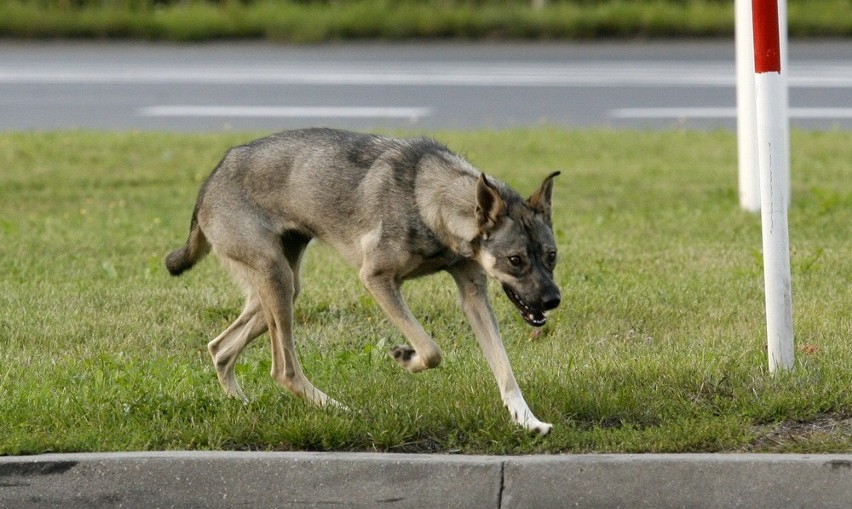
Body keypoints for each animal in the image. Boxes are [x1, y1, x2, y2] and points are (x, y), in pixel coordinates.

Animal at [167, 127, 564, 432]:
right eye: (515, 260)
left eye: (551, 255)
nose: (552, 300)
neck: (432, 202)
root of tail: (209, 183)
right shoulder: (377, 279)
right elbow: (431, 351)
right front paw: (406, 357)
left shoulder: (473, 293)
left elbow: (505, 369)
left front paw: (527, 421)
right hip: (274, 278)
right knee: (283, 370)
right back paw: (338, 409)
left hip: (282, 288)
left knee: (220, 348)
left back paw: (242, 403)